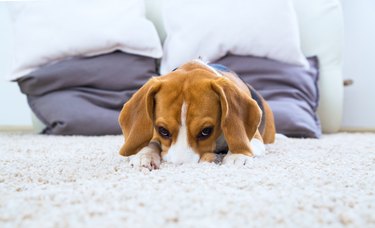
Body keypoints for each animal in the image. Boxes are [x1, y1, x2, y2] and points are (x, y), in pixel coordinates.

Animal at [118, 59, 276, 170]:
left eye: (206, 131)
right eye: (163, 130)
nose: (181, 166)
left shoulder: (256, 139)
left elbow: (241, 141)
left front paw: (238, 155)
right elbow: (151, 143)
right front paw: (144, 155)